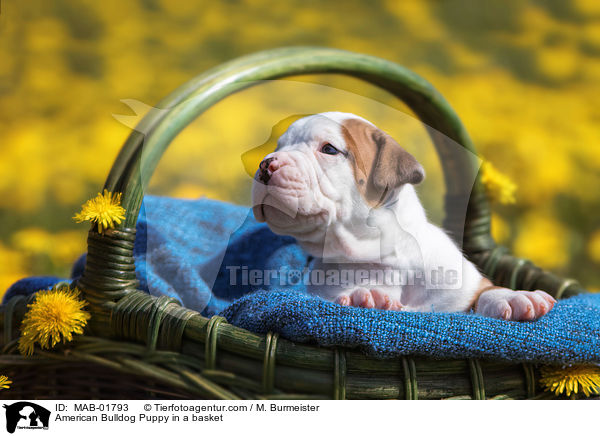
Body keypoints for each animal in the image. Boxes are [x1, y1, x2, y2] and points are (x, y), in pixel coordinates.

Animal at [251, 112, 556, 320]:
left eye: (328, 149)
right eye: (279, 146)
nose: (266, 164)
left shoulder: (464, 288)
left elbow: (485, 291)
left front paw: (516, 297)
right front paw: (368, 295)